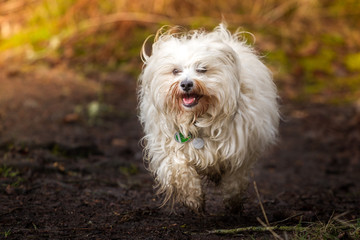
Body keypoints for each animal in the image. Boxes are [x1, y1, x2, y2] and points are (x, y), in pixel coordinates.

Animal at [138, 23, 278, 213]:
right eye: (175, 71)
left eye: (202, 69)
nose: (186, 84)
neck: (197, 118)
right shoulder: (168, 145)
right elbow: (179, 168)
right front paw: (193, 198)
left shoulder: (240, 149)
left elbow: (234, 179)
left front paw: (232, 201)